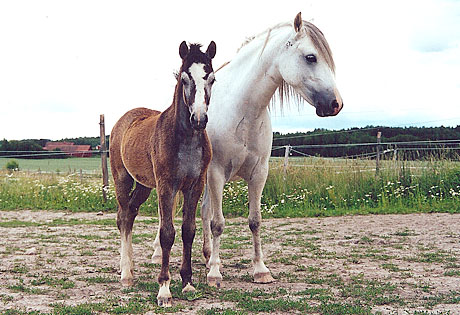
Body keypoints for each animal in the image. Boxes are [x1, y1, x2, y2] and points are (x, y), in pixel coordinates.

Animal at [153, 12, 344, 288]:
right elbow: (218, 223)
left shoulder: (259, 174)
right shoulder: (217, 173)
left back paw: (208, 255)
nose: (336, 104)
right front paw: (215, 274)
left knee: (203, 210)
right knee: (168, 213)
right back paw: (161, 254)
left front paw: (260, 270)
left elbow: (254, 221)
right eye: (311, 57)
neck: (243, 109)